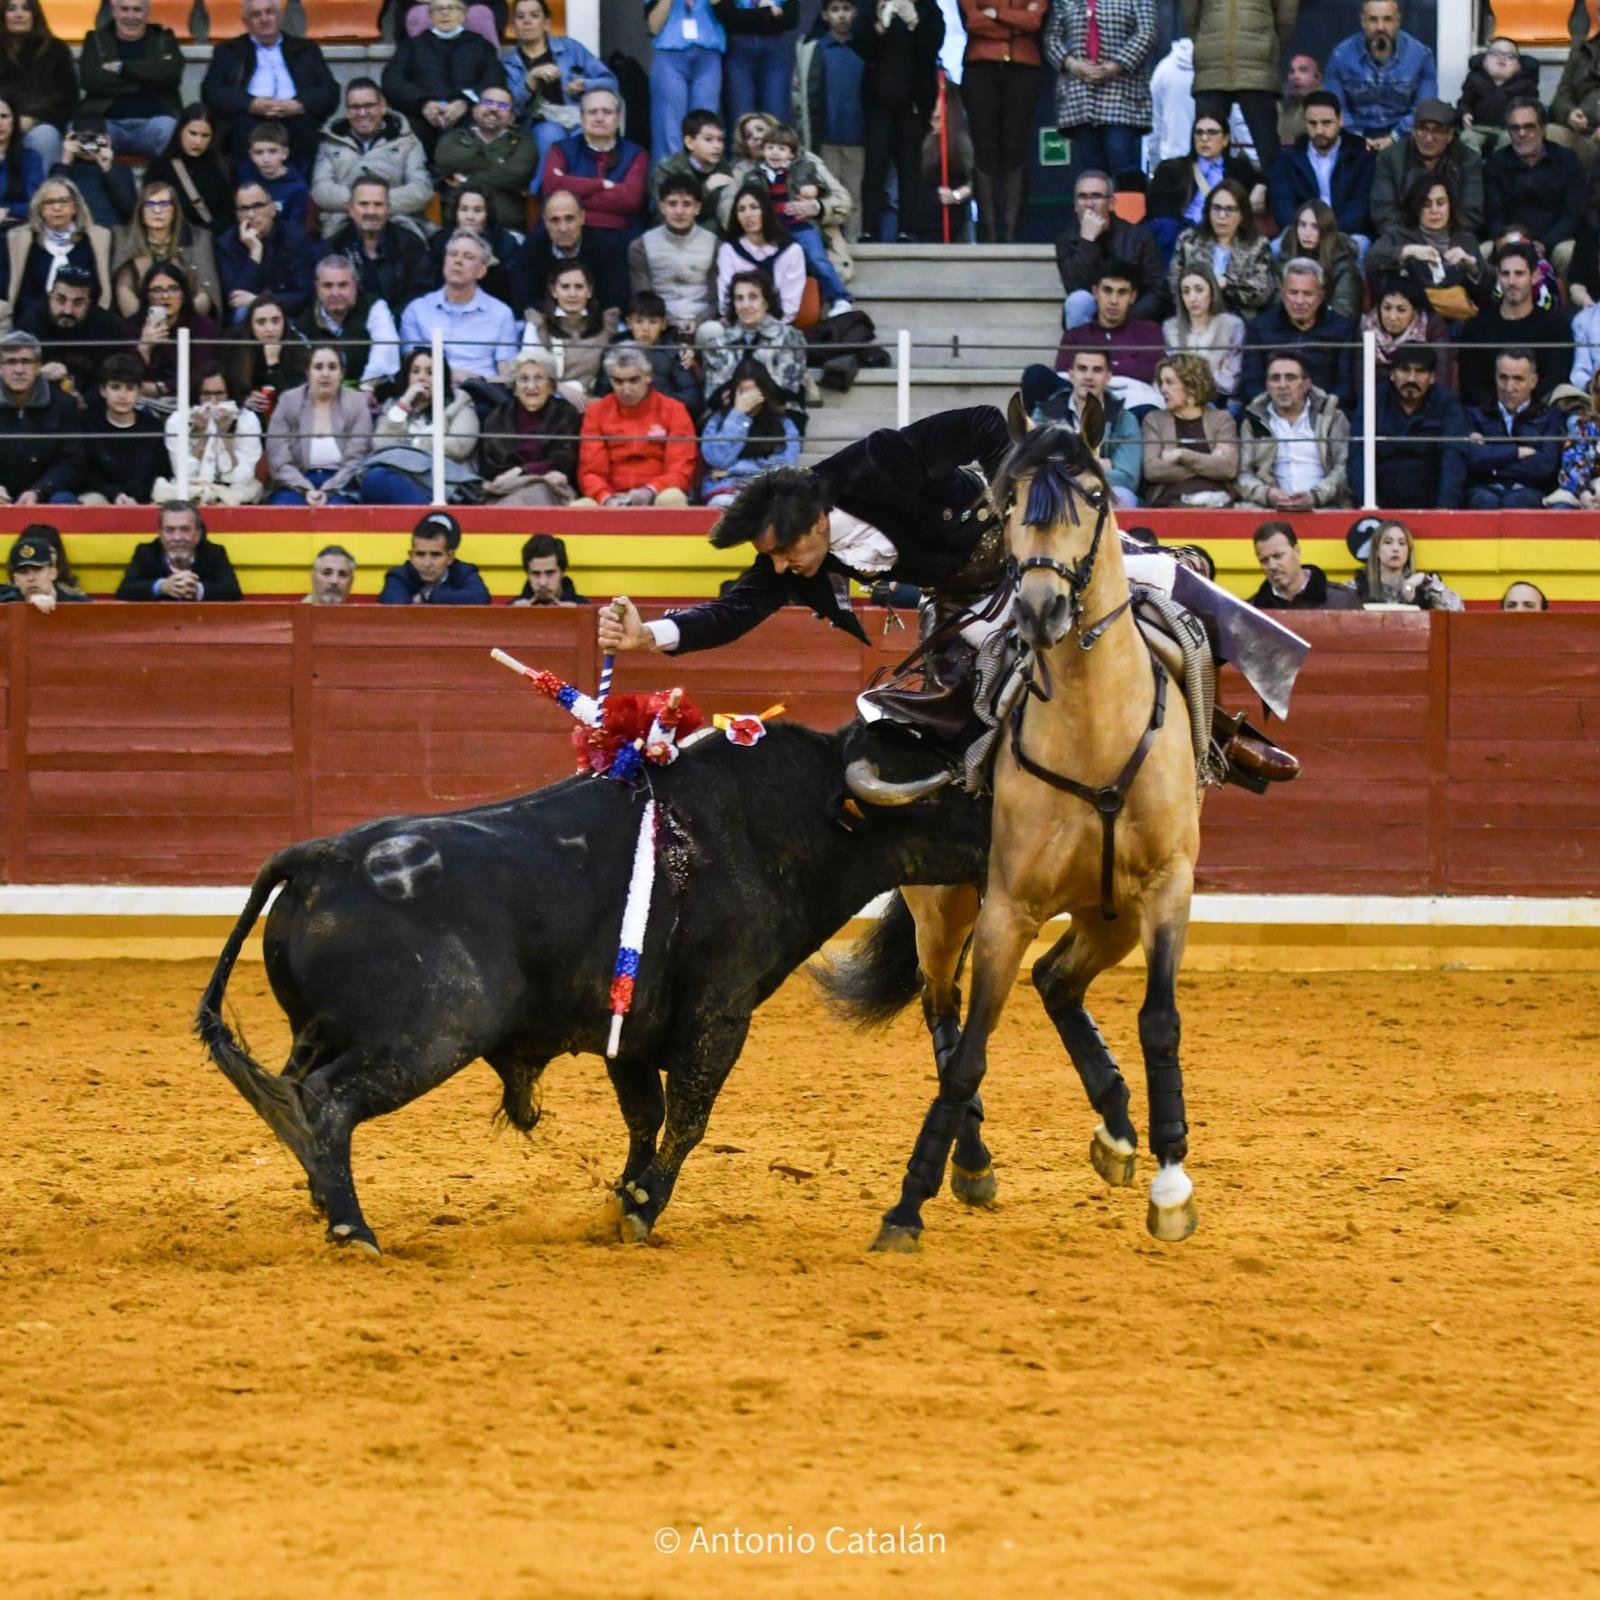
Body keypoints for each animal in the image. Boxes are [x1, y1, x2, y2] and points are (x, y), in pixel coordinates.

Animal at [196, 720, 989, 1253]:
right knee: (326, 1102)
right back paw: (353, 1229)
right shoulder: (720, 1014)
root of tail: (317, 857)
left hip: (317, 1030)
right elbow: (688, 1117)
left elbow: (645, 1116)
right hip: (427, 1037)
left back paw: (322, 1201)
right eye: (944, 792)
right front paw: (641, 1209)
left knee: (291, 1096)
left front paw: (623, 1199)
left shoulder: (630, 1029)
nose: (1009, 832)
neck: (785, 821)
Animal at [867, 398, 1205, 1252]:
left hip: (1108, 912)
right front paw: (908, 1202)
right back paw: (972, 1158)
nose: (1041, 609)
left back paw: (1117, 1130)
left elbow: (1160, 1021)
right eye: (1011, 501)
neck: (1095, 729)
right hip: (944, 907)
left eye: (1093, 494)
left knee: (1057, 980)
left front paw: (1171, 1180)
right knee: (943, 1008)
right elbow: (970, 1054)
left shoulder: (1168, 886)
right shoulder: (1007, 908)